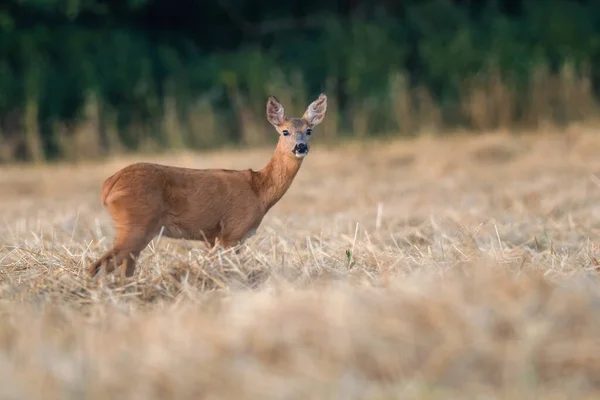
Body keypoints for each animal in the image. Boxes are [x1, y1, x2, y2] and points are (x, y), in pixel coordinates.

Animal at [88, 93, 328, 278]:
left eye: (309, 131)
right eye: (285, 131)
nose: (300, 147)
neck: (259, 191)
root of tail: (108, 186)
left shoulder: (213, 237)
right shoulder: (233, 232)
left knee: (122, 271)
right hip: (136, 223)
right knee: (99, 266)